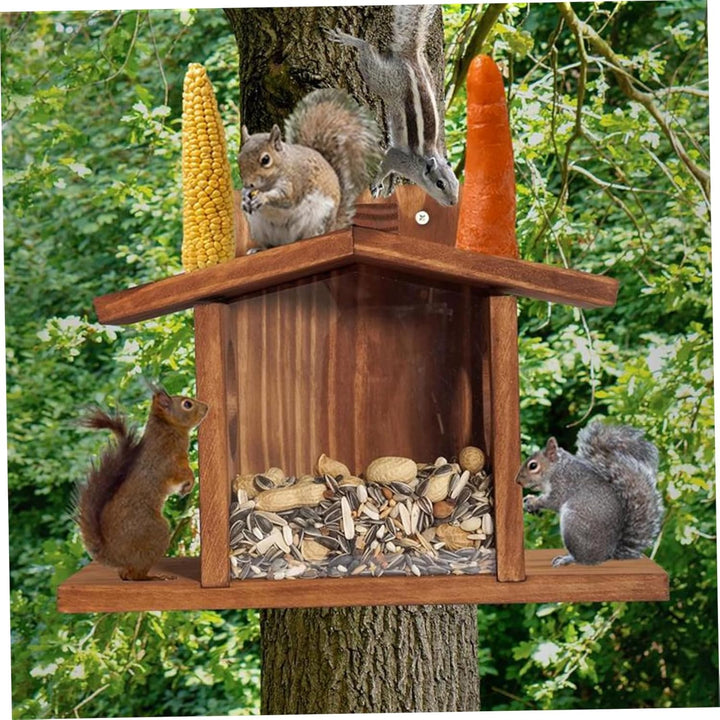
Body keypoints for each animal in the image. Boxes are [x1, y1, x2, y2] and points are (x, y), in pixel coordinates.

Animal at [75, 389, 208, 581]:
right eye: (187, 404)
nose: (207, 407)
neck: (167, 429)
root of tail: (114, 555)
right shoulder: (169, 463)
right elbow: (182, 474)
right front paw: (190, 482)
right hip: (155, 533)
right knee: (135, 575)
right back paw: (153, 577)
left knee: (126, 574)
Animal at [238, 88, 381, 252]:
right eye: (238, 157)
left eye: (265, 160)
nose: (248, 184)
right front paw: (244, 199)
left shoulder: (294, 182)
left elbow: (286, 197)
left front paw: (262, 198)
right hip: (259, 227)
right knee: (270, 245)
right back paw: (259, 249)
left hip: (319, 220)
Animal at [328, 5, 460, 207]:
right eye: (440, 184)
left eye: (457, 183)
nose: (454, 202)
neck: (423, 161)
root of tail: (411, 58)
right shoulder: (397, 157)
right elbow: (385, 166)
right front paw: (376, 184)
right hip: (385, 82)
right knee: (368, 51)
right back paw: (351, 40)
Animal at [516, 421, 664, 567]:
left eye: (533, 466)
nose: (517, 481)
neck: (557, 468)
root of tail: (608, 554)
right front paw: (528, 499)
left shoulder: (563, 484)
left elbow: (553, 501)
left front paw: (533, 502)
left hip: (573, 524)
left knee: (583, 559)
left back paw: (567, 559)